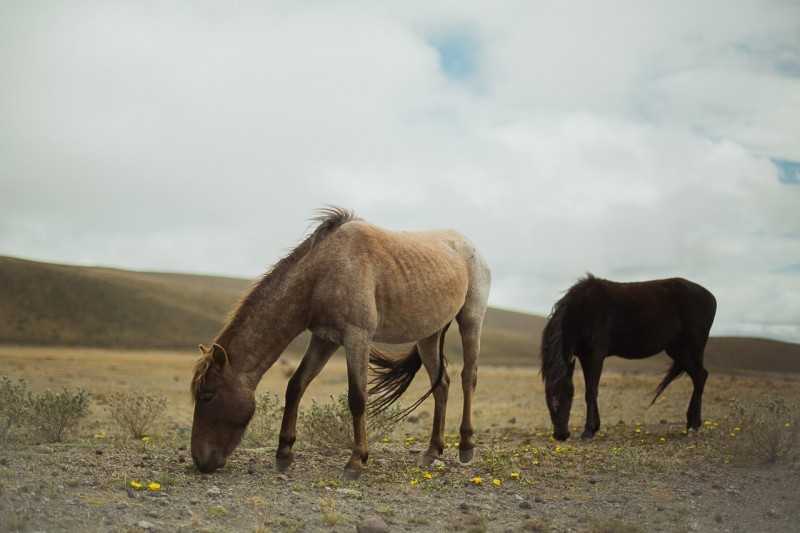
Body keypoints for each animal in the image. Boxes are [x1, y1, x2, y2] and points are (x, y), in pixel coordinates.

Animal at [191, 207, 490, 478]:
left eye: (207, 396)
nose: (198, 460)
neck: (323, 272)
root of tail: (470, 245)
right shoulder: (324, 339)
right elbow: (296, 386)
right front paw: (284, 454)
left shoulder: (356, 336)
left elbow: (357, 397)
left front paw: (356, 461)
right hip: (428, 336)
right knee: (441, 385)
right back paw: (432, 451)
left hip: (471, 321)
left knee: (468, 378)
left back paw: (466, 446)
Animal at [540, 274, 716, 440]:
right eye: (547, 397)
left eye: (569, 394)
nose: (560, 435)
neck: (584, 311)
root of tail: (710, 297)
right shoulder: (585, 357)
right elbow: (590, 390)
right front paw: (595, 427)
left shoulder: (596, 356)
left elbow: (591, 391)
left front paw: (588, 431)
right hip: (679, 351)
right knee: (700, 376)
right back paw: (690, 424)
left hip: (694, 348)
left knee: (699, 379)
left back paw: (694, 426)